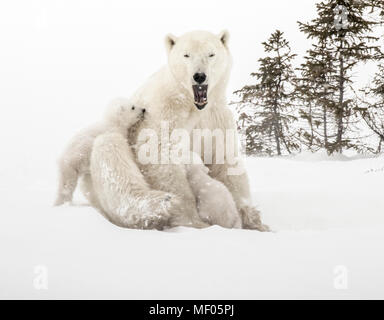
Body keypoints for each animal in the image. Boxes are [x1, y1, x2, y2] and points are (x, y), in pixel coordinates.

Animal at [86, 29, 268, 230]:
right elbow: (161, 157)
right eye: (186, 55)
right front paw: (191, 220)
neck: (191, 105)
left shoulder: (215, 118)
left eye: (211, 54)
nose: (199, 76)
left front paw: (254, 220)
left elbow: (224, 159)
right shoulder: (164, 114)